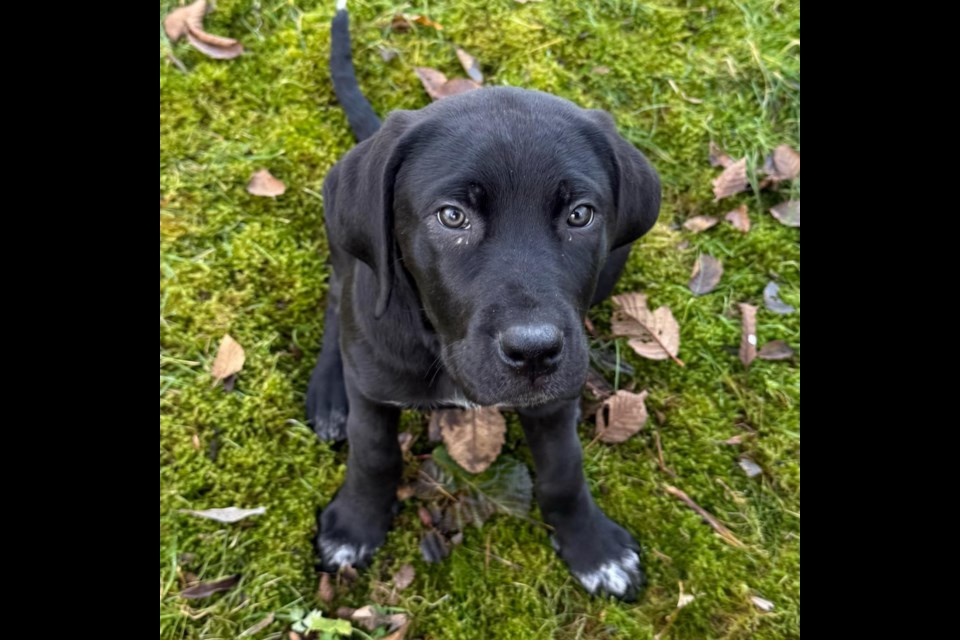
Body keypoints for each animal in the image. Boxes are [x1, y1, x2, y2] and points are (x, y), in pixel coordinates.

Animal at [308, 5, 660, 600]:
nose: (535, 352)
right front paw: (355, 524)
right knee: (339, 300)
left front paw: (592, 546)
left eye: (580, 215)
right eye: (453, 217)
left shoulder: (551, 402)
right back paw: (331, 392)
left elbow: (563, 469)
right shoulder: (376, 387)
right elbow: (373, 453)